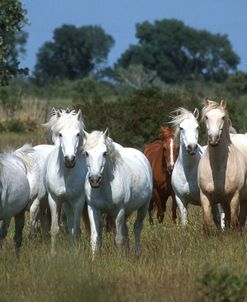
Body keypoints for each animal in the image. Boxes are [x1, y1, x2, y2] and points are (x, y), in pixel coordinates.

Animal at [43, 108, 87, 252]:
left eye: (78, 134)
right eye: (60, 134)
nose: (69, 160)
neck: (66, 175)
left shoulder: (79, 201)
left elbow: (76, 229)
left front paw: (75, 253)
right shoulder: (54, 199)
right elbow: (54, 229)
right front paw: (53, 253)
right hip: (66, 203)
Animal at [83, 130, 152, 258]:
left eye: (104, 153)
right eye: (86, 153)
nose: (95, 180)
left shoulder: (119, 210)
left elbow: (118, 239)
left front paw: (119, 259)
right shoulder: (93, 209)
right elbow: (95, 238)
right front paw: (94, 259)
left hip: (143, 207)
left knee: (137, 228)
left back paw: (137, 254)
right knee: (126, 230)